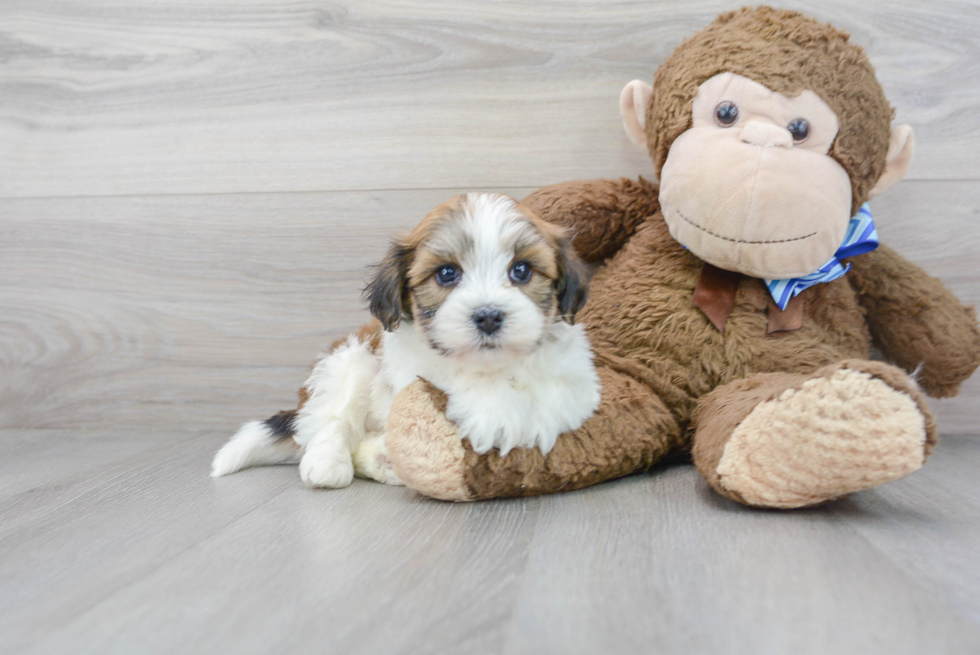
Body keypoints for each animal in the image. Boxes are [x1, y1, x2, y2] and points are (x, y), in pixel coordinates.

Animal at [211, 192, 600, 490]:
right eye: (447, 273)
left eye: (521, 270)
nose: (488, 316)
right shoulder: (409, 362)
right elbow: (450, 374)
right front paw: (495, 410)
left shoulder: (578, 375)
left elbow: (562, 396)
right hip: (351, 357)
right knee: (332, 419)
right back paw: (331, 464)